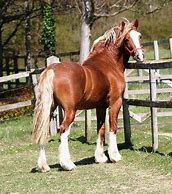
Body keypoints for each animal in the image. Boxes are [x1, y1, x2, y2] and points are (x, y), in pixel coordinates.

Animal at [32, 19, 144, 171]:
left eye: (139, 36)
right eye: (127, 39)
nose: (140, 56)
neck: (109, 63)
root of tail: (52, 69)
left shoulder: (100, 106)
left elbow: (100, 129)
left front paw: (100, 157)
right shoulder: (115, 102)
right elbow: (113, 127)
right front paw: (114, 156)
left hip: (49, 108)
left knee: (43, 130)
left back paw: (44, 166)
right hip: (70, 110)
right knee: (64, 129)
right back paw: (67, 164)